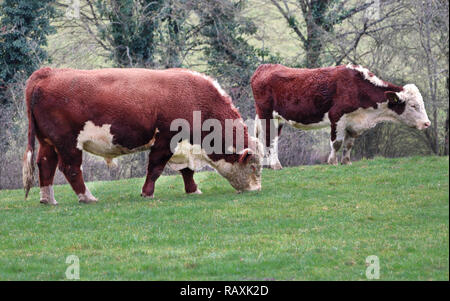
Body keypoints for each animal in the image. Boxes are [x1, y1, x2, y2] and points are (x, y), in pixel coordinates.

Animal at [23, 67, 264, 204]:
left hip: (48, 143)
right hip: (68, 143)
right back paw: (87, 197)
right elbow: (155, 169)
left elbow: (187, 170)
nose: (256, 190)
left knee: (45, 165)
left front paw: (193, 190)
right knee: (71, 169)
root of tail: (48, 72)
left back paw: (48, 199)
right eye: (253, 166)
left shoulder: (182, 146)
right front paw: (147, 193)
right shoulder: (165, 141)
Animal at [251, 63, 430, 168]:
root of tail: (264, 67)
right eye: (413, 105)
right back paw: (275, 165)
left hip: (278, 118)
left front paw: (346, 162)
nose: (427, 123)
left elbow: (349, 144)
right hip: (267, 115)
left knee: (271, 140)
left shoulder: (353, 122)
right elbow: (336, 143)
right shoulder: (337, 116)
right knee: (269, 140)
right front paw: (332, 162)